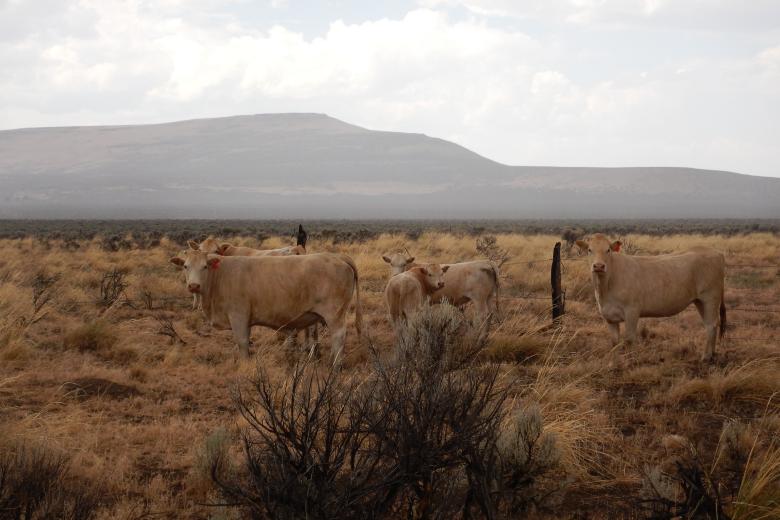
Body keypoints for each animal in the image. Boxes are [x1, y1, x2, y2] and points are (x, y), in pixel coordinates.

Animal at [169, 251, 361, 364]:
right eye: (185, 266)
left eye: (204, 266)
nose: (194, 286)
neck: (220, 276)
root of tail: (338, 257)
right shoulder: (245, 319)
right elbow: (245, 341)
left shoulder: (238, 315)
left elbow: (241, 341)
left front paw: (244, 364)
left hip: (335, 314)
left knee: (339, 336)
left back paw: (335, 365)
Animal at [575, 234, 726, 361]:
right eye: (589, 250)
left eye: (608, 250)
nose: (599, 266)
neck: (605, 288)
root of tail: (716, 252)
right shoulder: (608, 316)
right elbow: (614, 342)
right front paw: (615, 362)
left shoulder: (632, 311)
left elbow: (629, 339)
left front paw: (630, 361)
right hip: (700, 300)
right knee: (710, 324)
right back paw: (712, 354)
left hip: (710, 297)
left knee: (711, 324)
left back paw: (706, 357)